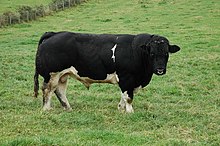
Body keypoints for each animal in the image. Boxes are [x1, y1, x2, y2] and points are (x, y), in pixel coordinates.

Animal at [33, 31, 180, 112]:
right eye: (152, 53)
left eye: (166, 53)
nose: (160, 69)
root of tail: (54, 33)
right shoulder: (126, 77)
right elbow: (128, 96)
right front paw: (129, 111)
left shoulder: (131, 81)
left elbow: (124, 95)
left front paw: (121, 108)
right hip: (52, 74)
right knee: (47, 89)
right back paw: (46, 109)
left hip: (63, 75)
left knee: (59, 91)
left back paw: (68, 108)